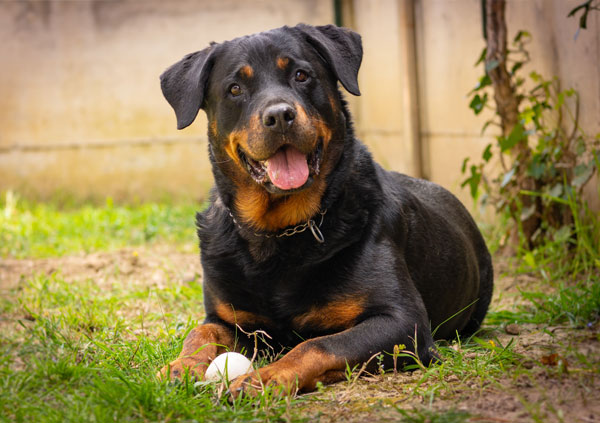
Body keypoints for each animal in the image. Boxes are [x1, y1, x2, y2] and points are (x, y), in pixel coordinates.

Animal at [158, 24, 492, 398]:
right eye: (234, 88)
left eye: (301, 75)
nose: (279, 115)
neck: (279, 233)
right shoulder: (231, 320)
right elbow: (200, 332)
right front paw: (180, 366)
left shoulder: (403, 321)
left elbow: (318, 344)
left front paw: (266, 377)